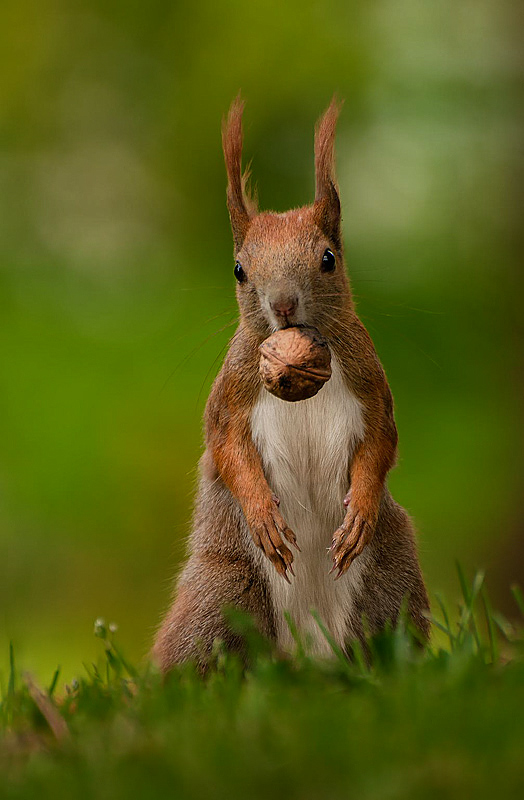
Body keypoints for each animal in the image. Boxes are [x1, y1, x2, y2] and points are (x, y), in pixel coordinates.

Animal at [152, 95, 430, 668]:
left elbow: (382, 440)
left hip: (392, 580)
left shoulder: (370, 379)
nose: (281, 304)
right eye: (239, 269)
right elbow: (226, 444)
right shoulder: (233, 389)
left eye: (328, 258)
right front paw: (263, 515)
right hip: (220, 593)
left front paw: (360, 508)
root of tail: (307, 657)